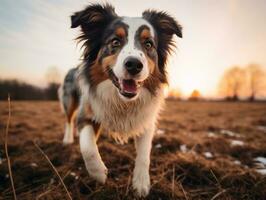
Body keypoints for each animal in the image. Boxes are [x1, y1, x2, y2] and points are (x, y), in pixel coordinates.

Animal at [59, 3, 182, 197]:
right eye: (115, 41)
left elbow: (145, 154)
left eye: (149, 44)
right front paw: (98, 173)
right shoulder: (87, 111)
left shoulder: (146, 120)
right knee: (69, 120)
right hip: (69, 100)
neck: (123, 101)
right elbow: (87, 147)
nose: (134, 64)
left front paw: (141, 183)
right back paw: (68, 138)